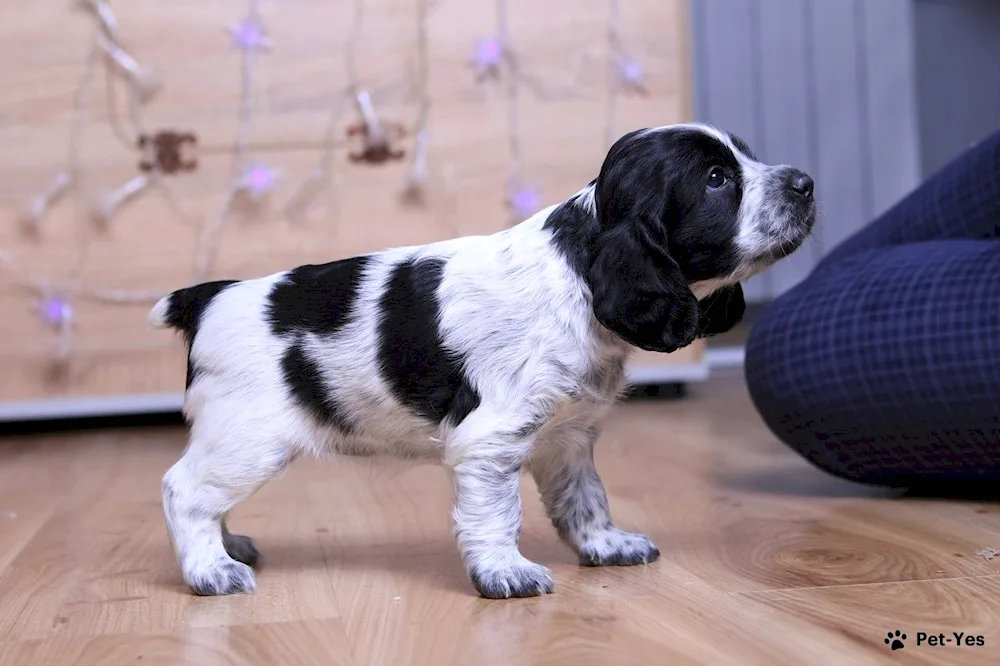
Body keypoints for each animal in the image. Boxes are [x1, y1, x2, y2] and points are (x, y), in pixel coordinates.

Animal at [152, 122, 816, 600]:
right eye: (716, 178)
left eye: (747, 159)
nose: (806, 183)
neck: (578, 275)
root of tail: (208, 296)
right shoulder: (492, 441)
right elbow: (498, 515)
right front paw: (505, 574)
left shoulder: (566, 438)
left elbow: (586, 499)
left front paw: (605, 546)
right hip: (250, 438)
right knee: (183, 491)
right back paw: (210, 571)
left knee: (205, 496)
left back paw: (228, 547)